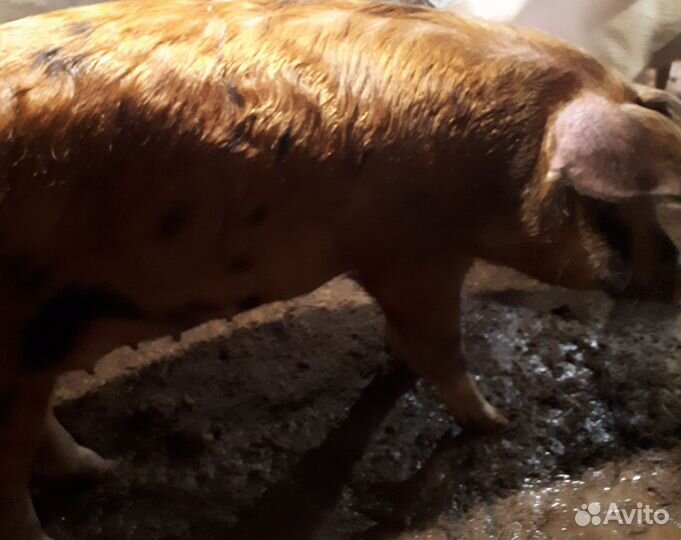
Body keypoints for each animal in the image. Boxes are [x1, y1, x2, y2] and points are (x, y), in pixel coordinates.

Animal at [0, 1, 680, 538]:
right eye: (617, 205)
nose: (674, 268)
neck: (499, 162)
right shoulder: (416, 254)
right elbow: (442, 348)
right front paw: (496, 422)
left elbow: (404, 340)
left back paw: (101, 469)